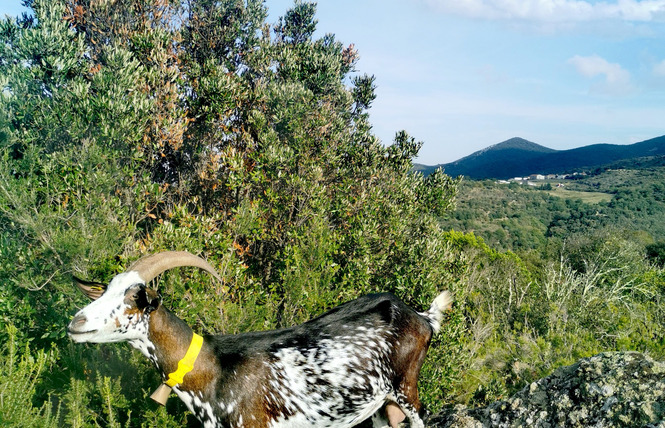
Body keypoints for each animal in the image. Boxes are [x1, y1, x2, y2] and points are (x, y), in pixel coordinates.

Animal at [67, 251, 452, 428]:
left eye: (134, 301)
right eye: (106, 291)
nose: (76, 323)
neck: (213, 369)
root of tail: (423, 317)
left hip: (406, 389)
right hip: (379, 406)